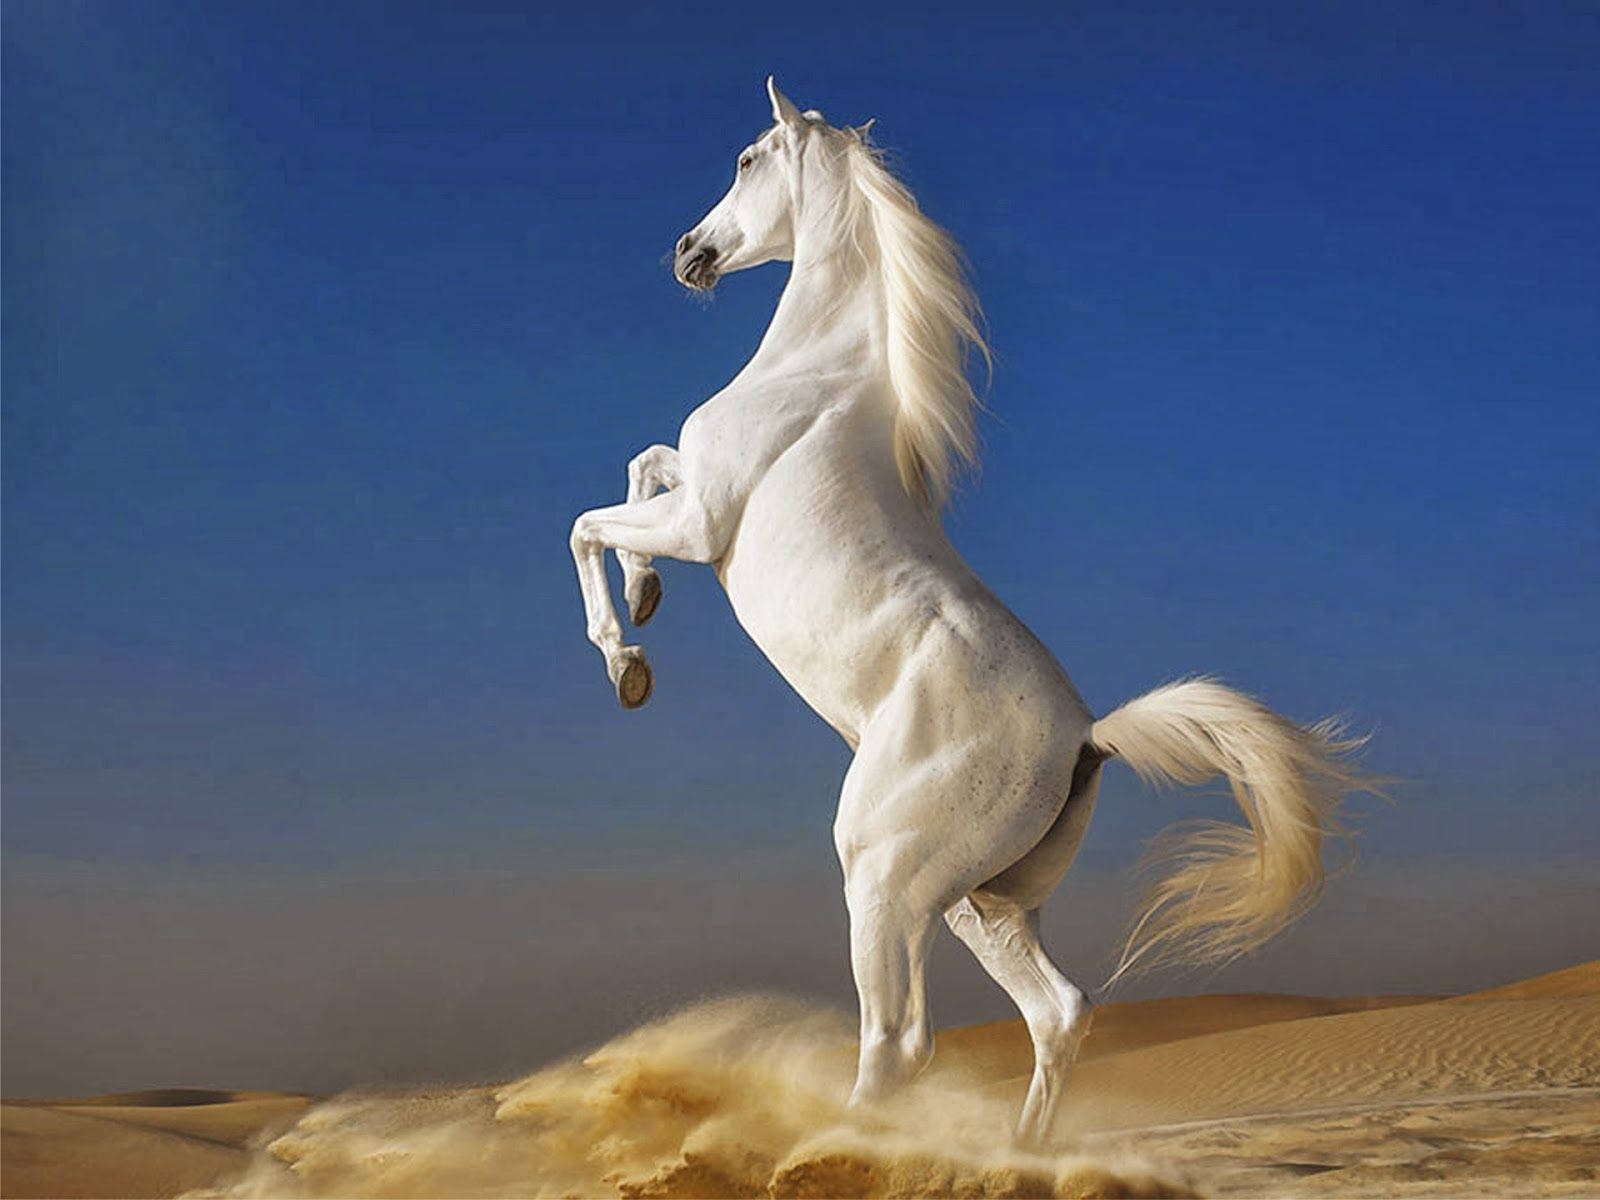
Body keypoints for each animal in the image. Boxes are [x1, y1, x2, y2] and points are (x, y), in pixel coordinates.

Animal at [567, 78, 1369, 1144]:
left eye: (745, 159)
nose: (689, 252)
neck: (815, 376)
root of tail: (1087, 737)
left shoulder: (702, 523)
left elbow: (589, 521)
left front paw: (628, 662)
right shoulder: (688, 497)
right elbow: (641, 464)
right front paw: (647, 600)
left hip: (882, 875)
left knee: (901, 1042)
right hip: (975, 902)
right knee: (1057, 1013)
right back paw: (1018, 1154)